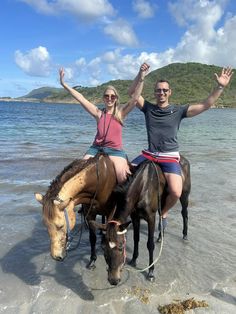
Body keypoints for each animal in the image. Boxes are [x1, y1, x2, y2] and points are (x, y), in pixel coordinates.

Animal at [91, 156, 191, 284]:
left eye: (121, 247)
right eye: (104, 249)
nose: (113, 280)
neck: (143, 186)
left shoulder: (151, 218)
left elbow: (150, 244)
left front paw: (151, 272)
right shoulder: (135, 217)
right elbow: (136, 238)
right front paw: (133, 260)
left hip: (184, 194)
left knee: (184, 213)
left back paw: (185, 235)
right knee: (163, 215)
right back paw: (160, 237)